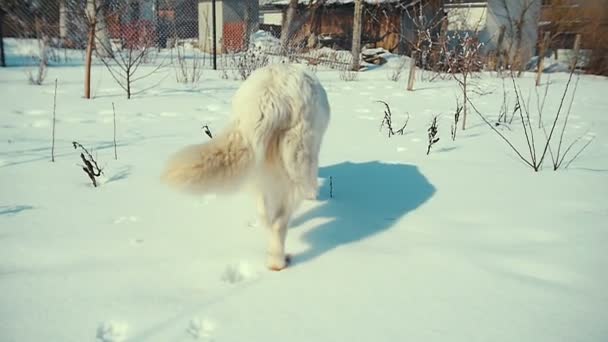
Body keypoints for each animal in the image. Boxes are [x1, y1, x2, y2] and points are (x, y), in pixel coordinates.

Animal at [162, 62, 330, 270]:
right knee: (279, 222)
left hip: (257, 170)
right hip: (295, 165)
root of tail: (270, 97)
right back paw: (279, 262)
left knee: (265, 216)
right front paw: (314, 195)